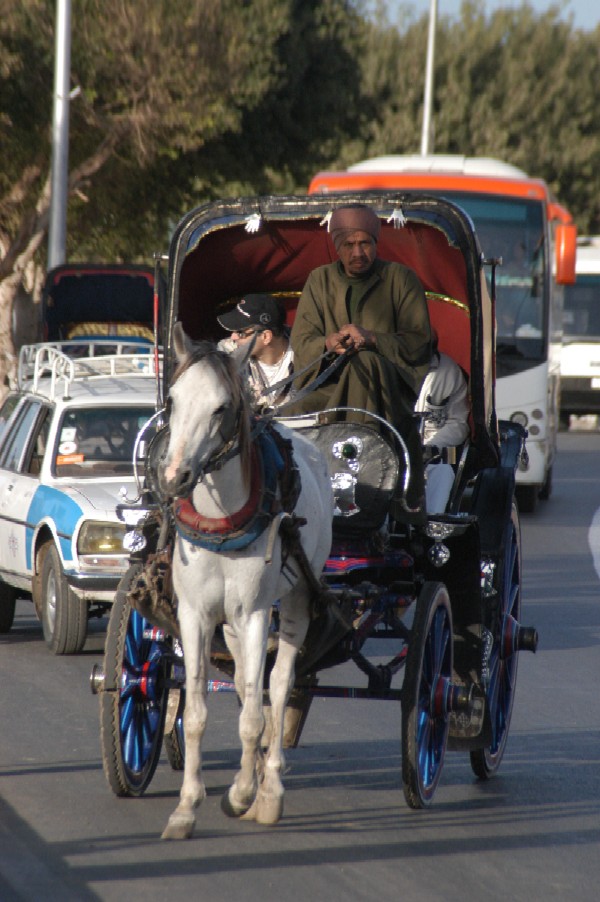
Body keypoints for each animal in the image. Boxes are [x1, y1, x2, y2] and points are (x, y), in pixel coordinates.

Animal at [157, 324, 332, 840]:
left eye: (221, 407)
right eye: (172, 400)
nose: (174, 477)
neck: (222, 522)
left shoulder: (255, 614)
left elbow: (256, 715)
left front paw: (241, 794)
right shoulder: (195, 614)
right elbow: (195, 712)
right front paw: (186, 807)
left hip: (294, 601)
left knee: (277, 683)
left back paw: (267, 789)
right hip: (230, 622)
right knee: (243, 683)